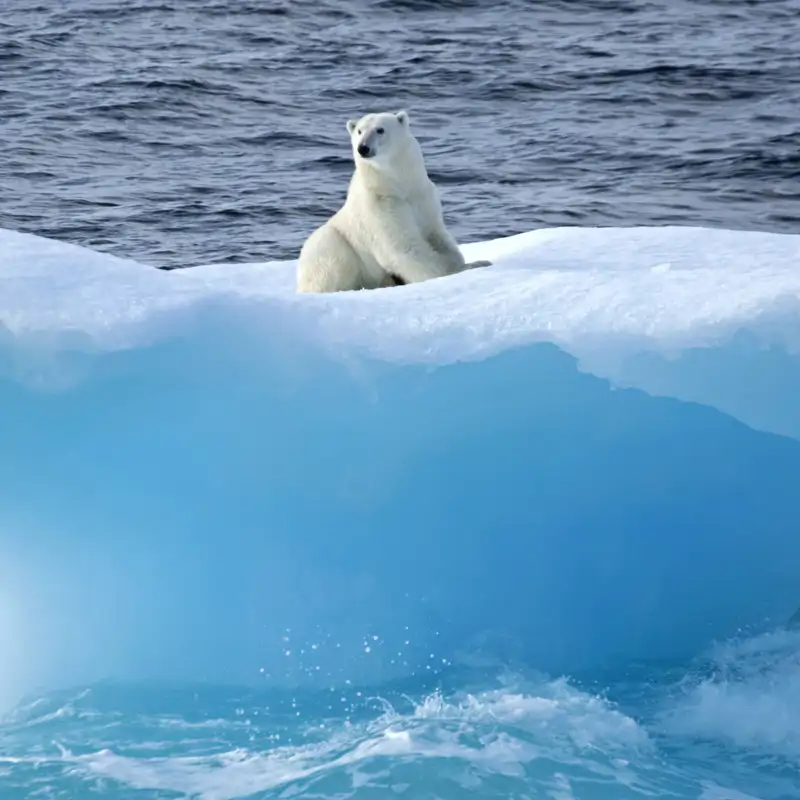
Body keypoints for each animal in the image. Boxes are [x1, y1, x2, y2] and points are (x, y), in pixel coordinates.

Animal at [296, 109, 490, 293]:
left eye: (380, 130)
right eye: (359, 131)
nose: (363, 148)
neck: (396, 184)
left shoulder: (423, 197)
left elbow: (436, 235)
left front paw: (474, 262)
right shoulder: (381, 204)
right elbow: (404, 246)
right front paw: (456, 271)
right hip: (333, 247)